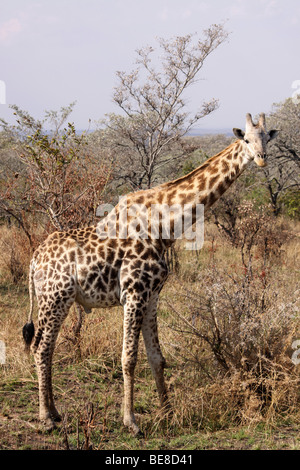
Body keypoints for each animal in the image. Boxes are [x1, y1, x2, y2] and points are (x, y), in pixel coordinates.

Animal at [23, 112, 278, 436]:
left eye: (267, 138)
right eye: (245, 139)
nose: (261, 159)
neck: (165, 226)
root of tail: (34, 259)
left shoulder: (153, 294)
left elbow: (157, 357)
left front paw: (167, 412)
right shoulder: (134, 293)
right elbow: (129, 359)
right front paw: (131, 421)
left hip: (58, 300)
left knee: (47, 346)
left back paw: (55, 412)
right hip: (55, 297)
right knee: (41, 348)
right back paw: (45, 417)